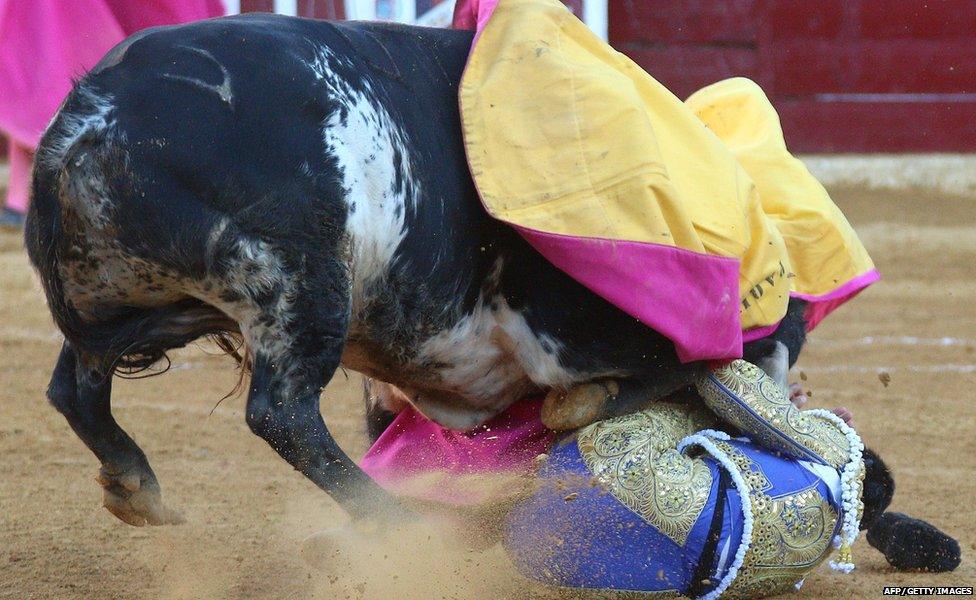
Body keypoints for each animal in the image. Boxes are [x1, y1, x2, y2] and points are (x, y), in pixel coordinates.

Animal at [28, 15, 808, 524]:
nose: (790, 396)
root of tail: (93, 122)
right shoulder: (577, 331)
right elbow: (669, 369)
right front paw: (578, 409)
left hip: (133, 301)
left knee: (76, 385)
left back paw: (135, 488)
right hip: (300, 285)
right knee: (283, 414)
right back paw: (398, 523)